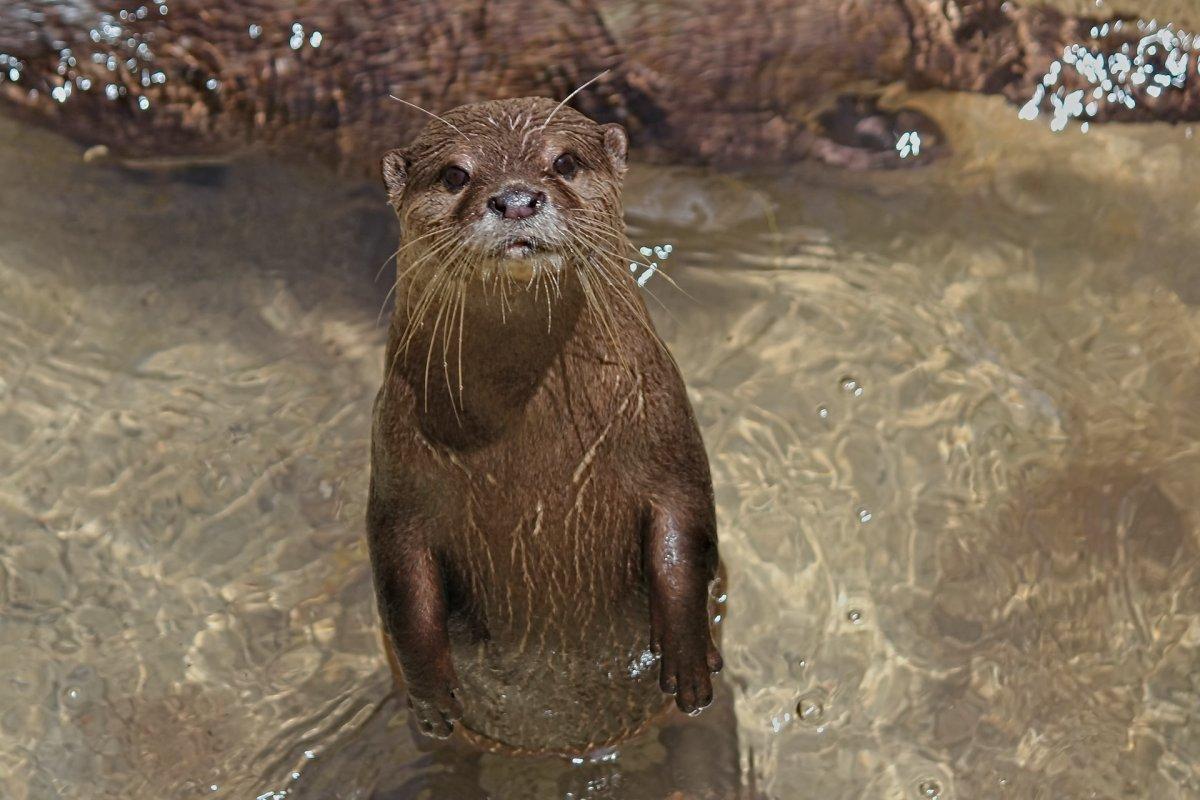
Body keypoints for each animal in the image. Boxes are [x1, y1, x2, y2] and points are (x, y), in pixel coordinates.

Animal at [364, 97, 720, 753]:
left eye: (565, 162)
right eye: (455, 174)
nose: (516, 199)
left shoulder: (668, 432)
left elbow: (685, 537)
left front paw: (687, 661)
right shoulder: (396, 471)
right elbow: (402, 581)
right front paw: (431, 699)